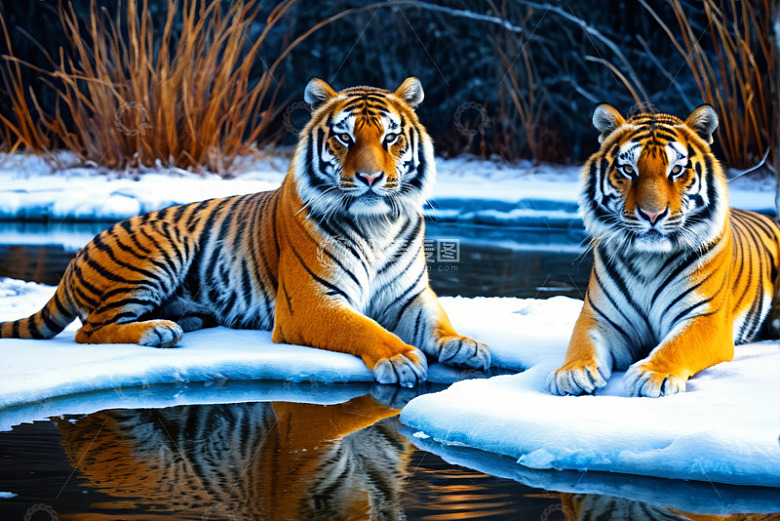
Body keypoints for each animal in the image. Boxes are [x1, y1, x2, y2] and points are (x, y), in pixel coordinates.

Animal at [0, 77, 490, 387]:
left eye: (390, 138)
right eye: (345, 138)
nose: (370, 179)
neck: (377, 223)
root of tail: (74, 259)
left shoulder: (410, 296)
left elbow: (438, 323)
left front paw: (465, 345)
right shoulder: (312, 304)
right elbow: (364, 328)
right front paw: (400, 357)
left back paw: (183, 320)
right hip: (162, 247)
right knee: (90, 330)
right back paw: (157, 331)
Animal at [546, 103, 780, 398]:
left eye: (677, 170)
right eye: (628, 169)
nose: (652, 214)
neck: (648, 259)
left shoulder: (706, 318)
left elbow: (679, 344)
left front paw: (653, 374)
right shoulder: (599, 317)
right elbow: (583, 342)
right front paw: (572, 372)